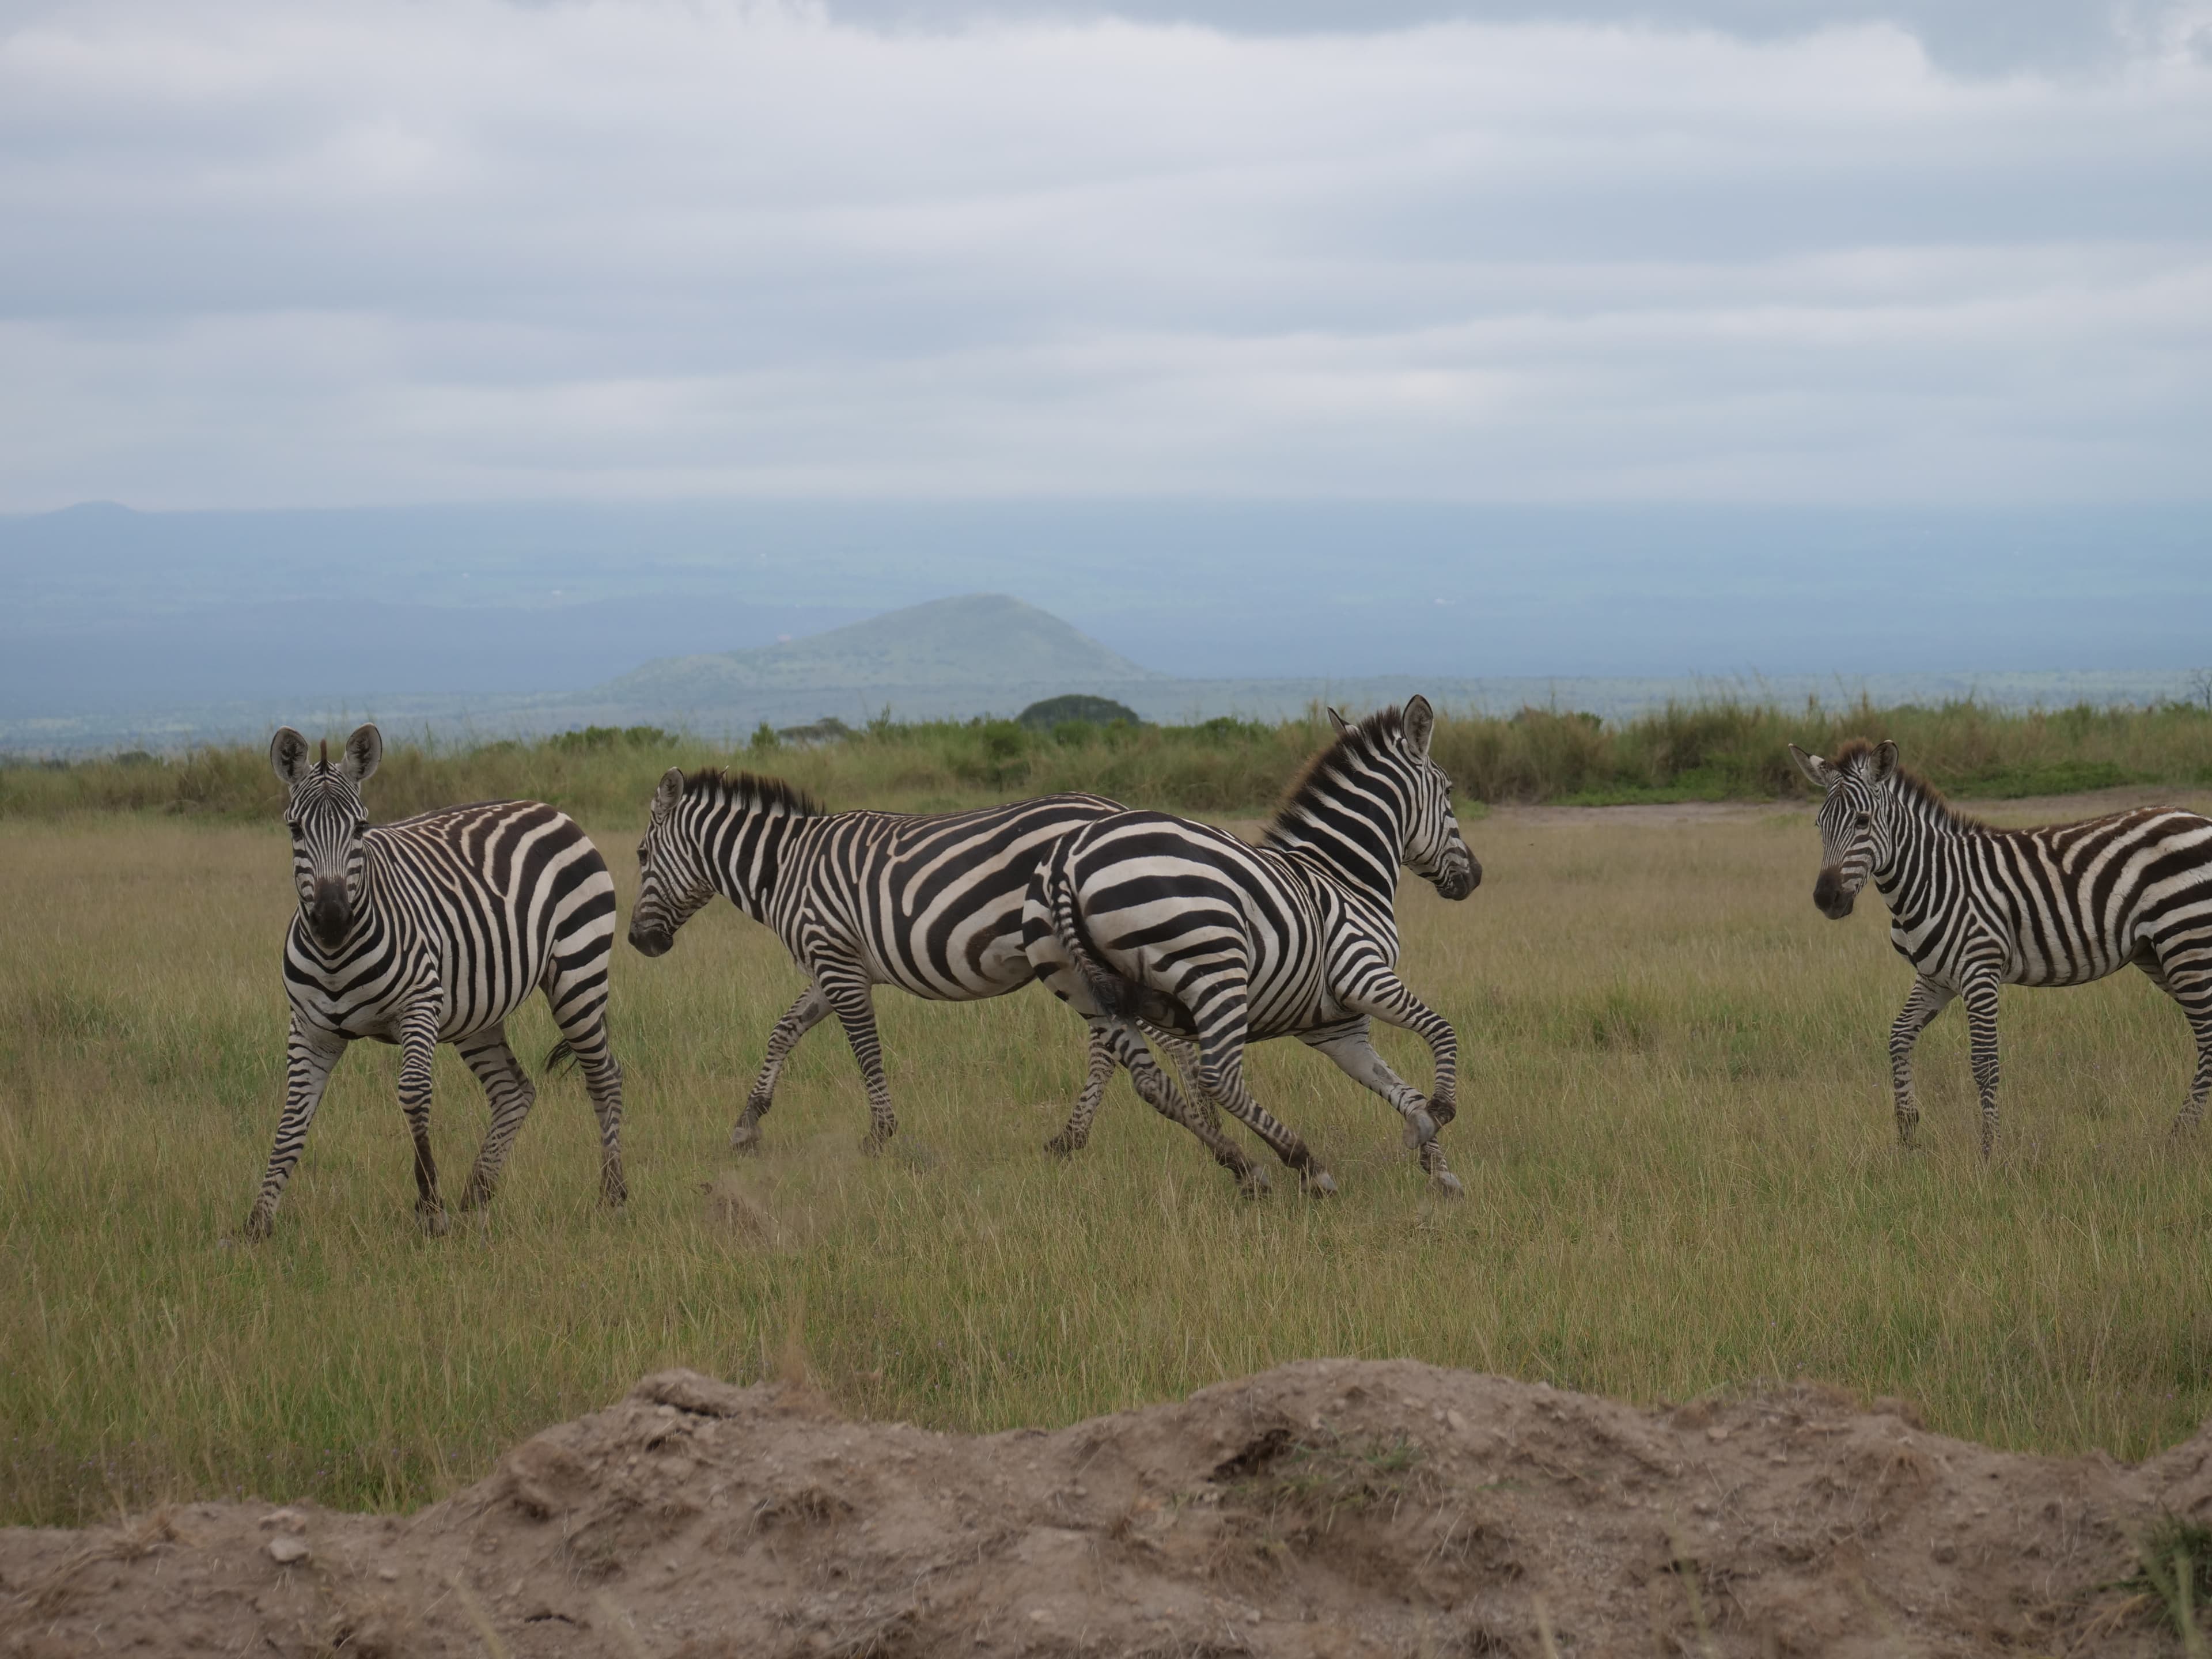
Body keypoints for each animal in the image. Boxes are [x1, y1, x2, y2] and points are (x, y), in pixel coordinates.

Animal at [246, 724, 626, 1239]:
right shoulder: (309, 1029)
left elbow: (413, 1095)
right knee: (514, 1091)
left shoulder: (420, 1006)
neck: (336, 956)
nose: (332, 919)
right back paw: (478, 1194)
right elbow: (291, 1119)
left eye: (361, 828)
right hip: (477, 1008)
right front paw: (258, 1222)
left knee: (604, 1076)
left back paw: (612, 1195)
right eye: (294, 830)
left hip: (578, 975)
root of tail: (550, 808)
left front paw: (430, 1208)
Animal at [625, 773, 1205, 1151]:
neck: (783, 868)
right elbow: (783, 1031)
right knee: (1149, 1040)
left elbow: (864, 1048)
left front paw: (880, 1134)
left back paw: (1121, 1129)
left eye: (640, 855)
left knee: (1138, 1043)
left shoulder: (835, 960)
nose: (636, 942)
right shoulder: (830, 965)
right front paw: (748, 1123)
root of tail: (1116, 812)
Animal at [1022, 696, 1481, 1197]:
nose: (1475, 877)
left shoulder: (1336, 1027)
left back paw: (1245, 1164)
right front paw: (1439, 1116)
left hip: (1089, 995)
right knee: (1219, 1076)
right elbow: (1443, 1032)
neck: (1344, 877)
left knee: (1150, 1082)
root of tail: (1067, 863)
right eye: (1449, 791)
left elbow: (1402, 1091)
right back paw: (1304, 1164)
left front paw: (1441, 1171)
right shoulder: (1362, 976)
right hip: (1216, 972)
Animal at [1790, 738, 2212, 1157]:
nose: (1826, 899)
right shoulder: (1934, 978)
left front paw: (1990, 1151)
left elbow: (1984, 1062)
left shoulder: (1980, 969)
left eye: (1862, 822)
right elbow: (1898, 1037)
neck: (1933, 879)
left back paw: (2179, 1138)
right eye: (1819, 826)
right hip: (2156, 952)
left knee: (2208, 1037)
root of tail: (2197, 819)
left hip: (2186, 941)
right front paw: (1908, 1135)